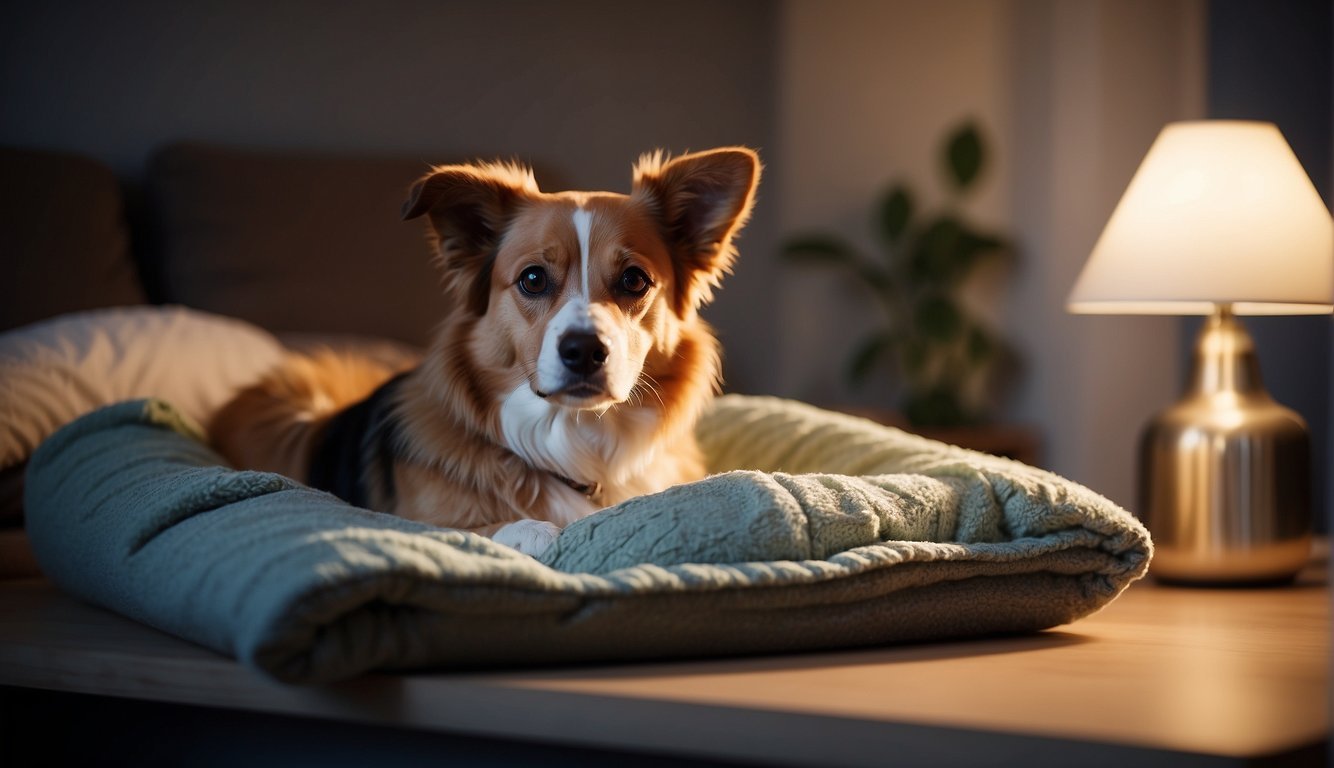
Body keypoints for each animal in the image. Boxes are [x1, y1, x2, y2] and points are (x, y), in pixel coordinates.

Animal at [208, 146, 763, 554]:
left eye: (634, 280)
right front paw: (534, 529)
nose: (584, 351)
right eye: (533, 278)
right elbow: (476, 529)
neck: (572, 441)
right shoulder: (408, 519)